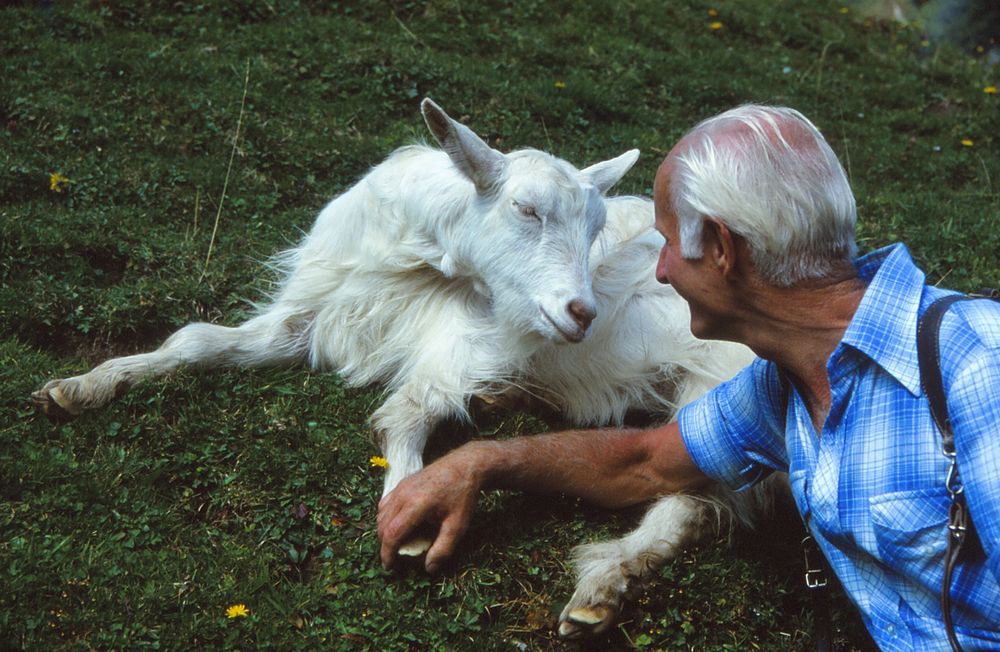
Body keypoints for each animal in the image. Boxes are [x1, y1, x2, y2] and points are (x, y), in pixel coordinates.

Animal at [31, 99, 764, 640]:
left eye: (595, 229)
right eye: (526, 209)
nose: (581, 313)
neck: (418, 259)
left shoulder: (475, 340)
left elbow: (405, 411)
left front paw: (411, 511)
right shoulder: (312, 315)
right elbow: (194, 341)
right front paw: (81, 387)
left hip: (720, 382)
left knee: (692, 502)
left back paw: (605, 584)